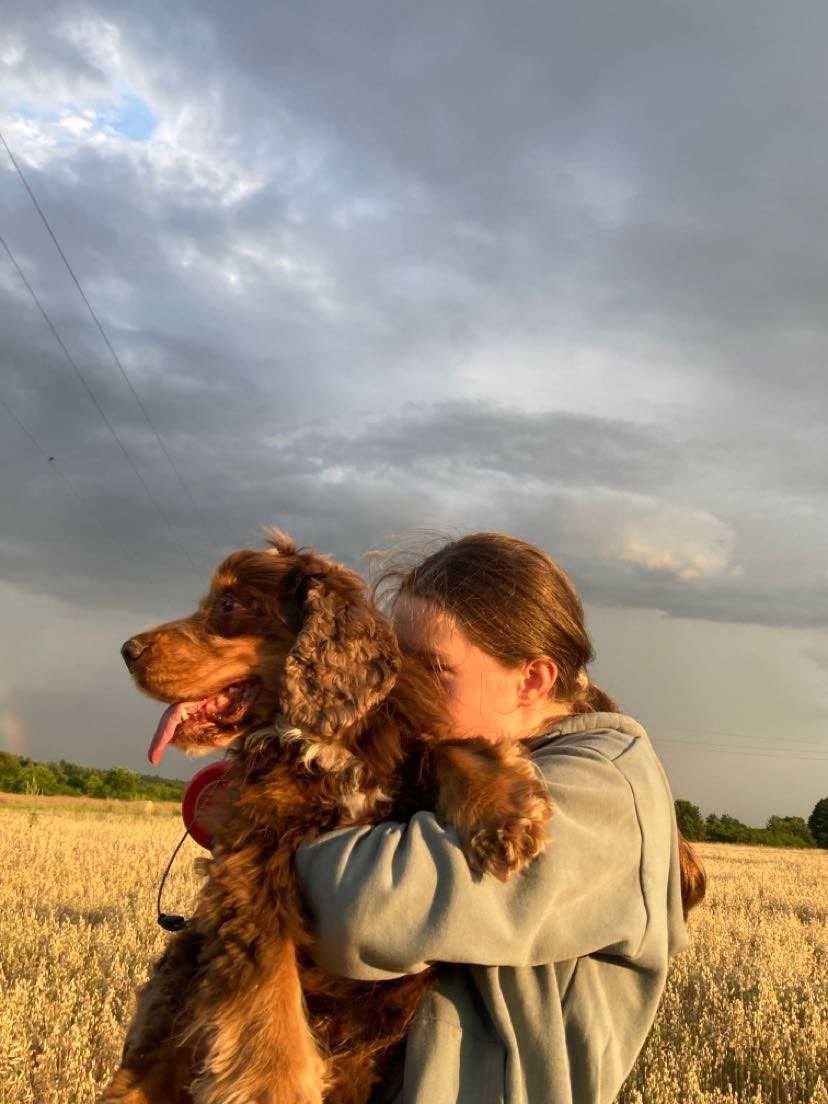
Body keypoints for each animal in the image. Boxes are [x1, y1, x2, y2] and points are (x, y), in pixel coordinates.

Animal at [102, 529, 558, 1099]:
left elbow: (448, 750)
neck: (321, 739)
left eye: (228, 604)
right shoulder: (255, 845)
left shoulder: (401, 750)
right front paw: (275, 1084)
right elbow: (267, 977)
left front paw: (505, 816)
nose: (127, 650)